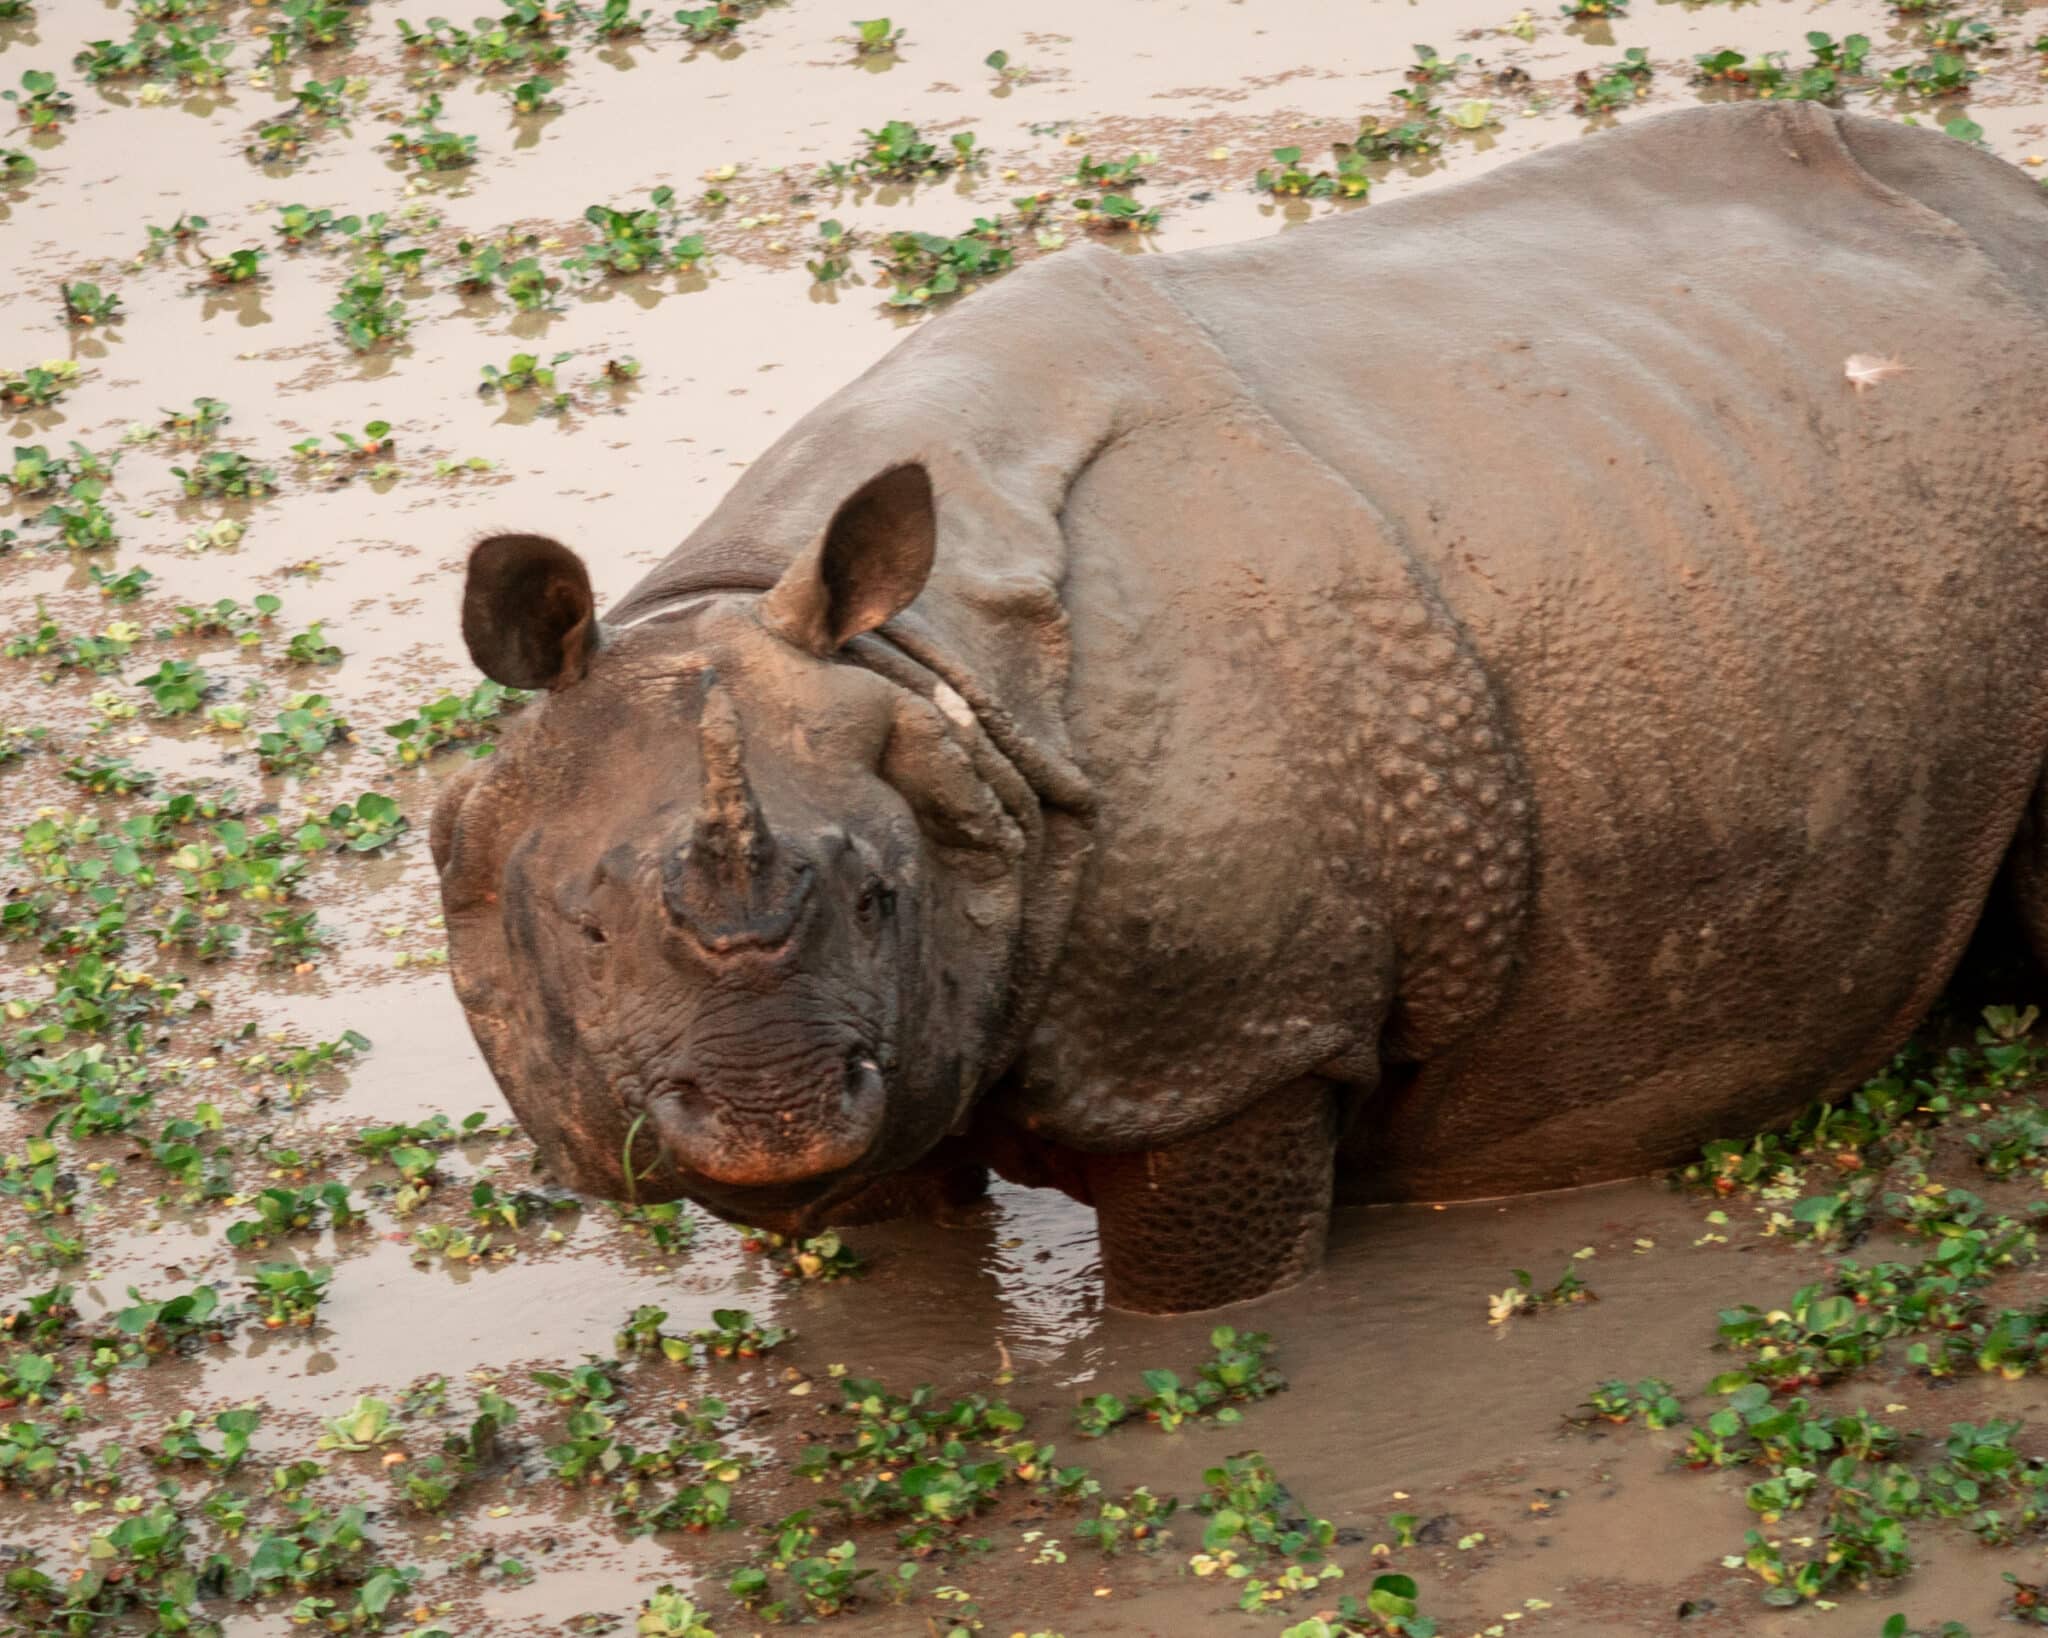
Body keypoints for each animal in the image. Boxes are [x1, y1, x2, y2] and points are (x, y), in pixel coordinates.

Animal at [434, 103, 2048, 1314]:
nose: (773, 1117)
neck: (929, 681)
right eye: (581, 930)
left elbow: (1201, 1303)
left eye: (887, 897)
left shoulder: (1238, 1049)